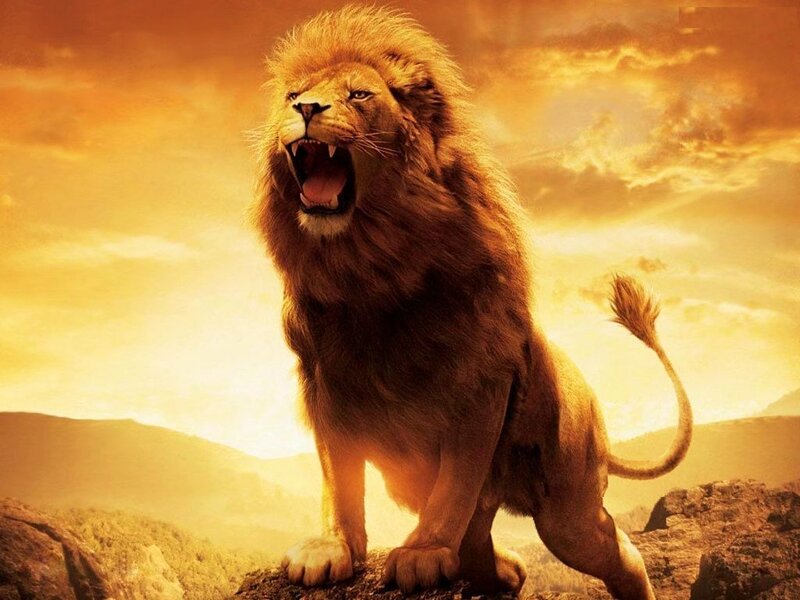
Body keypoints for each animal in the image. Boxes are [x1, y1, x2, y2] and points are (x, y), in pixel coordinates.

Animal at [256, 7, 692, 599]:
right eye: (293, 94)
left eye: (359, 94)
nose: (305, 109)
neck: (369, 267)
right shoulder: (326, 381)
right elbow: (338, 476)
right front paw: (331, 548)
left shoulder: (480, 383)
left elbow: (456, 483)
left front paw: (421, 554)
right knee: (483, 538)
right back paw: (505, 570)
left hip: (568, 507)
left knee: (614, 549)